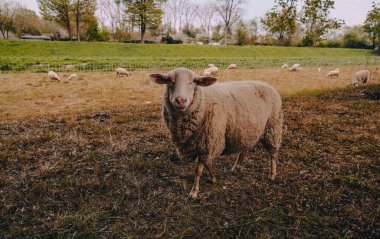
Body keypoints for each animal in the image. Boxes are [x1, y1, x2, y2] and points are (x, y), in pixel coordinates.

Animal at [150, 67, 284, 198]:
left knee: (273, 154)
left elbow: (198, 170)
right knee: (244, 150)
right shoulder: (205, 143)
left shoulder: (207, 141)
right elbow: (207, 163)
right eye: (168, 80)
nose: (181, 100)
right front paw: (213, 178)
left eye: (194, 81)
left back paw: (272, 174)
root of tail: (267, 84)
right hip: (247, 129)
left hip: (272, 127)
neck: (203, 100)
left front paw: (194, 191)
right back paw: (236, 168)